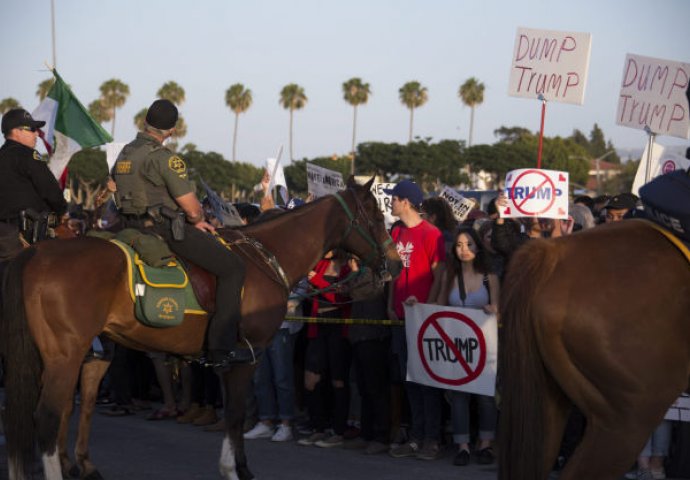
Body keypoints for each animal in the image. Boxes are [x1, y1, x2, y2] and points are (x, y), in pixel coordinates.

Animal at [0, 180, 400, 480]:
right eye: (375, 216)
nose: (395, 263)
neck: (266, 257)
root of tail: (35, 255)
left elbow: (236, 413)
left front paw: (240, 466)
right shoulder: (246, 356)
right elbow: (236, 414)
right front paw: (234, 469)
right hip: (65, 356)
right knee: (47, 417)